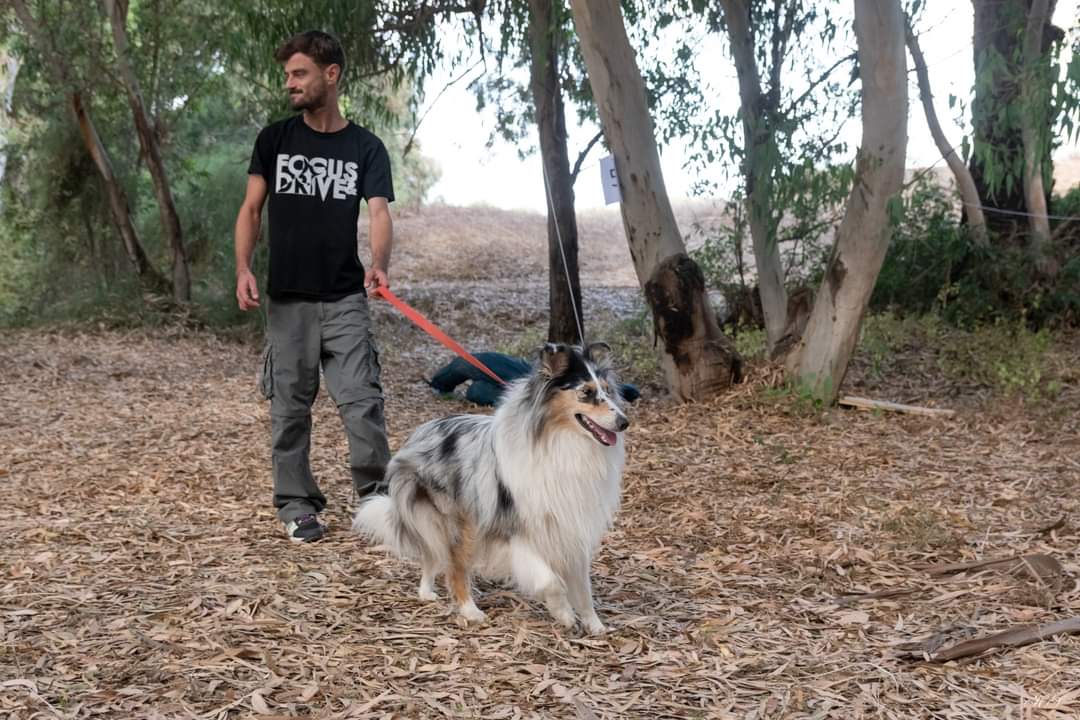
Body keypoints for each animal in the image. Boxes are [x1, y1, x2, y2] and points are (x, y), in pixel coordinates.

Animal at [354, 343, 626, 630]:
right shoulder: (516, 529)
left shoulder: (571, 527)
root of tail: (419, 433)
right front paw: (563, 613)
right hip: (461, 523)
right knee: (454, 567)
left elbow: (583, 588)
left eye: (607, 391)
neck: (562, 442)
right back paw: (469, 610)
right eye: (586, 392)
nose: (624, 422)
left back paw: (426, 592)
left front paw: (595, 625)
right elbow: (549, 580)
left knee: (432, 555)